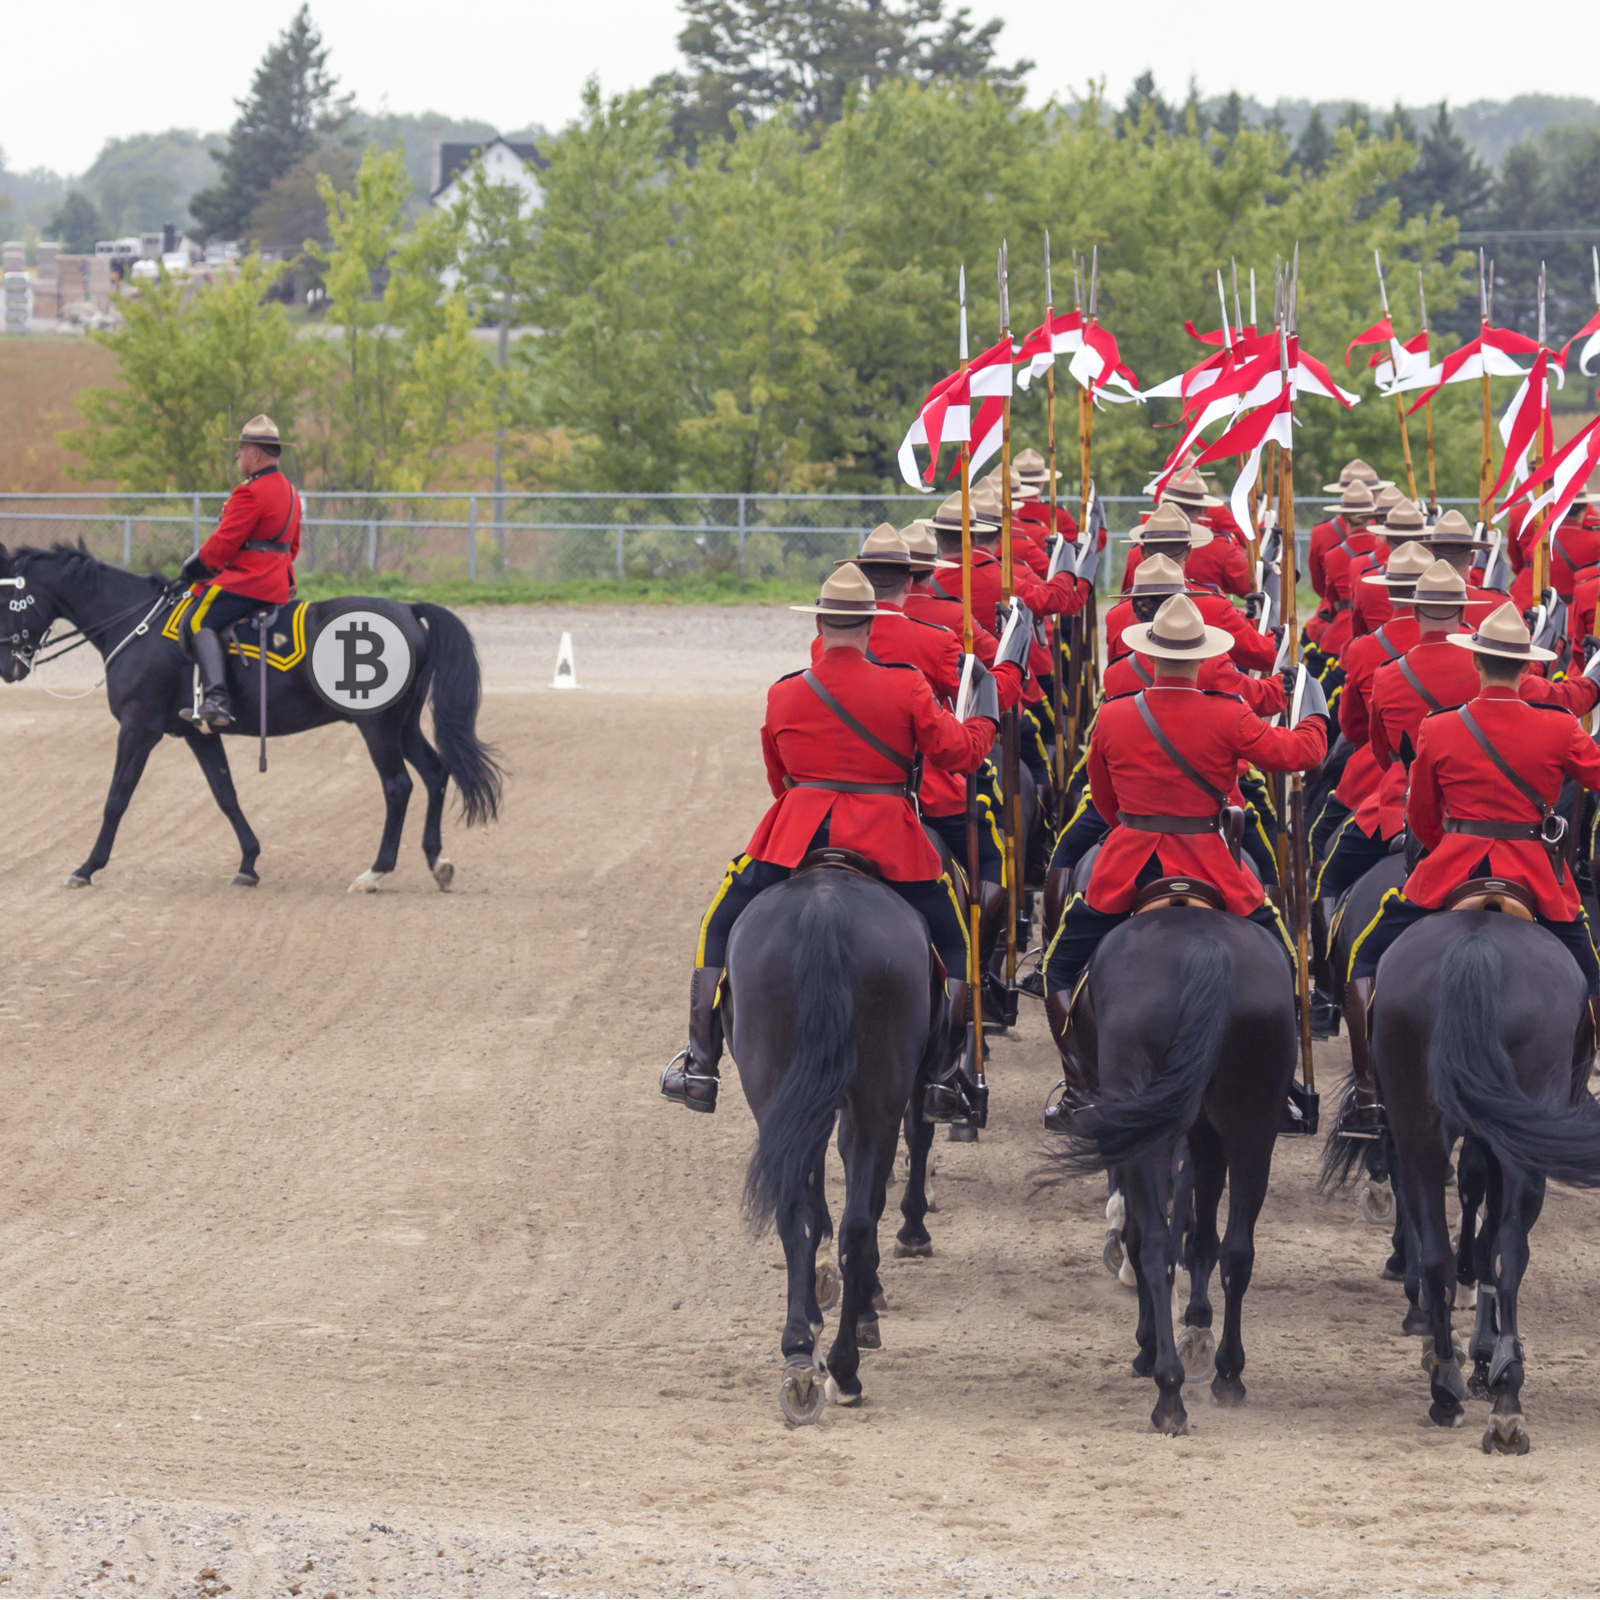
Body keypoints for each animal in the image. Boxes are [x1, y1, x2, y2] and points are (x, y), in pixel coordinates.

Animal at [0, 547, 499, 896]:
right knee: (435, 774)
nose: (9, 668)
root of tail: (407, 610)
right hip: (404, 725)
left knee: (398, 787)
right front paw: (248, 863)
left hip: (376, 726)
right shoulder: (195, 732)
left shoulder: (139, 730)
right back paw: (436, 862)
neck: (138, 623)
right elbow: (225, 794)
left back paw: (375, 873)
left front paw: (86, 868)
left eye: (8, 598)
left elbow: (116, 800)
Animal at [729, 864, 940, 1427]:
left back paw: (802, 1354)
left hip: (778, 1087)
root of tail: (823, 908)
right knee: (856, 1221)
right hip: (876, 1098)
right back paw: (842, 1365)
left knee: (798, 1215)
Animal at [1049, 902, 1299, 1440]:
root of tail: (1204, 950)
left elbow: (1142, 1234)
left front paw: (1147, 1345)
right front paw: (1198, 1324)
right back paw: (1228, 1373)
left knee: (1157, 1247)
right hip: (1252, 1130)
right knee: (1238, 1251)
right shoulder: (1204, 1132)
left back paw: (1168, 1390)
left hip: (1150, 1129)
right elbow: (1203, 1237)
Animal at [1369, 915, 1600, 1452]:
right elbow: (1489, 1239)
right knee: (1510, 1248)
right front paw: (1489, 1355)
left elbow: (1471, 1230)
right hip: (1521, 1146)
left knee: (1438, 1252)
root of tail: (1475, 943)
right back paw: (1507, 1401)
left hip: (1417, 1129)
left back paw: (1445, 1387)